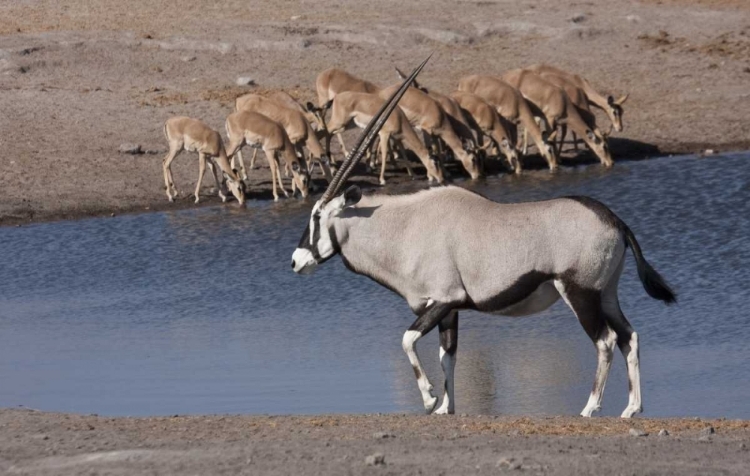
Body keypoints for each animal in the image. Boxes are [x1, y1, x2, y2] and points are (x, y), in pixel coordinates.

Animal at [290, 57, 680, 418]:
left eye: (316, 216)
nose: (296, 261)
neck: (404, 225)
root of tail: (614, 219)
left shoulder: (444, 299)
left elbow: (407, 340)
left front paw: (430, 399)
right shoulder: (448, 310)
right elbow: (447, 356)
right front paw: (446, 408)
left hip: (579, 292)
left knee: (606, 341)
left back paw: (589, 409)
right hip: (606, 293)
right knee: (629, 336)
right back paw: (631, 408)